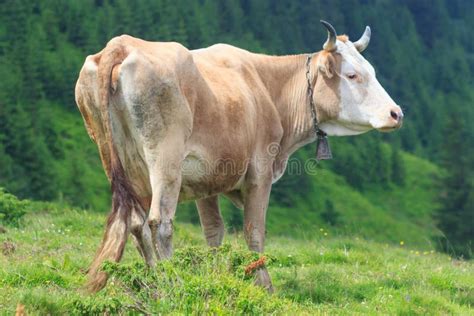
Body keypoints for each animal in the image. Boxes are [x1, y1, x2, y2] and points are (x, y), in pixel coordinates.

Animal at [75, 19, 404, 292]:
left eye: (372, 71)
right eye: (352, 75)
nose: (396, 113)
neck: (269, 89)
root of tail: (121, 45)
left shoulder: (204, 179)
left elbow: (214, 232)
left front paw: (214, 277)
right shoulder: (260, 172)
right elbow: (254, 231)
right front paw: (264, 285)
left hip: (121, 163)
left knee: (135, 223)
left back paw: (155, 282)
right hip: (164, 160)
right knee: (159, 222)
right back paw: (172, 282)